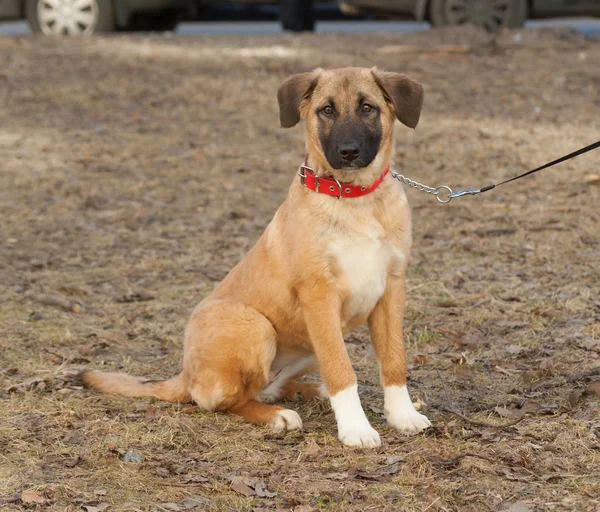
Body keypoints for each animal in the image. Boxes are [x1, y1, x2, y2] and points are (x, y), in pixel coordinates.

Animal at [82, 68, 434, 448]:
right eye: (326, 110)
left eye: (367, 107)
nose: (348, 152)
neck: (356, 198)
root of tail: (185, 375)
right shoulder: (319, 294)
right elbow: (342, 370)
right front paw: (355, 428)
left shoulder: (392, 289)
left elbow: (394, 360)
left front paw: (402, 415)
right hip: (256, 326)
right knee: (226, 401)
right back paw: (278, 416)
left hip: (306, 345)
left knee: (270, 387)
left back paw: (311, 392)